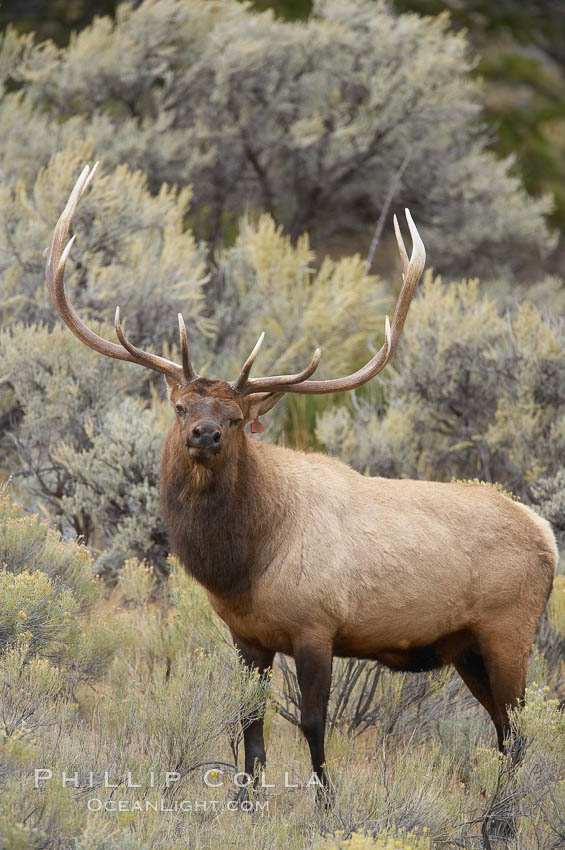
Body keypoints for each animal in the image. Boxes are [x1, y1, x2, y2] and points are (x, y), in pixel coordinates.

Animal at [47, 164, 556, 800]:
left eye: (237, 418)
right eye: (182, 407)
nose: (206, 434)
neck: (244, 565)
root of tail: (547, 536)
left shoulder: (319, 626)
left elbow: (314, 726)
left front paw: (328, 805)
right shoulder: (246, 638)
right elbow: (250, 725)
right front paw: (243, 802)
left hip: (509, 631)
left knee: (520, 734)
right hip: (467, 649)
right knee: (506, 734)